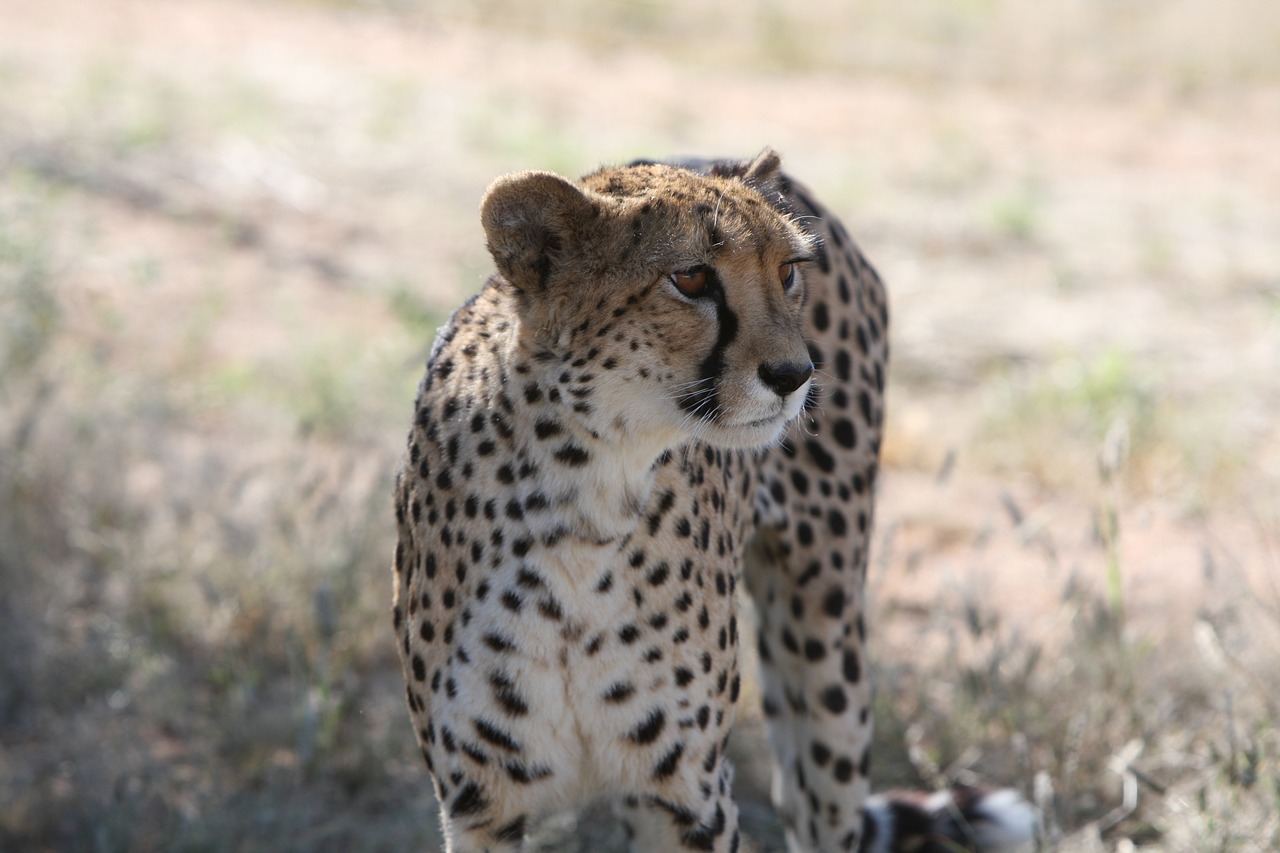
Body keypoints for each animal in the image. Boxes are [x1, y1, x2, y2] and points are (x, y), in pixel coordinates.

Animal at [389, 149, 1029, 845]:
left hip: (826, 650)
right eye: (692, 278)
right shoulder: (481, 804)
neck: (591, 491)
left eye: (788, 271)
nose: (795, 375)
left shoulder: (686, 794)